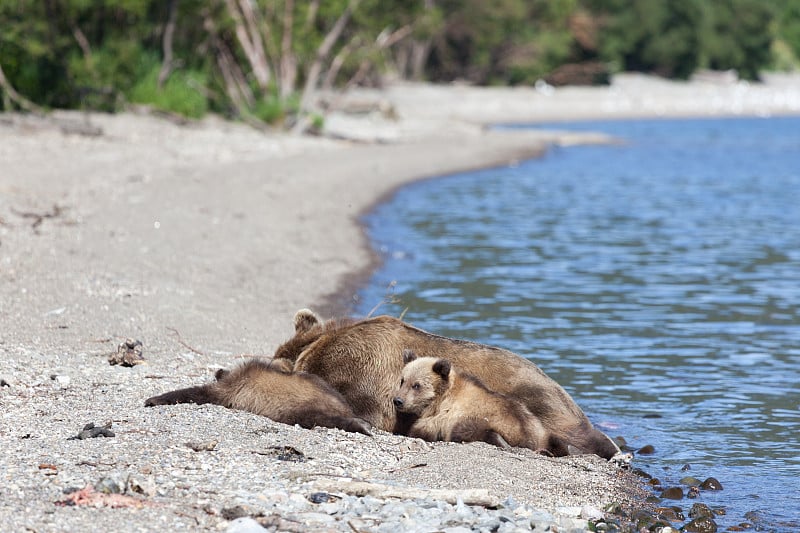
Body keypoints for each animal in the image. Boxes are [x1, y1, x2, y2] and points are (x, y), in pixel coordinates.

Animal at [390, 350, 564, 454]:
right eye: (403, 380)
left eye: (416, 385)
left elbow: (419, 430)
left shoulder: (443, 418)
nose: (397, 400)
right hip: (537, 426)